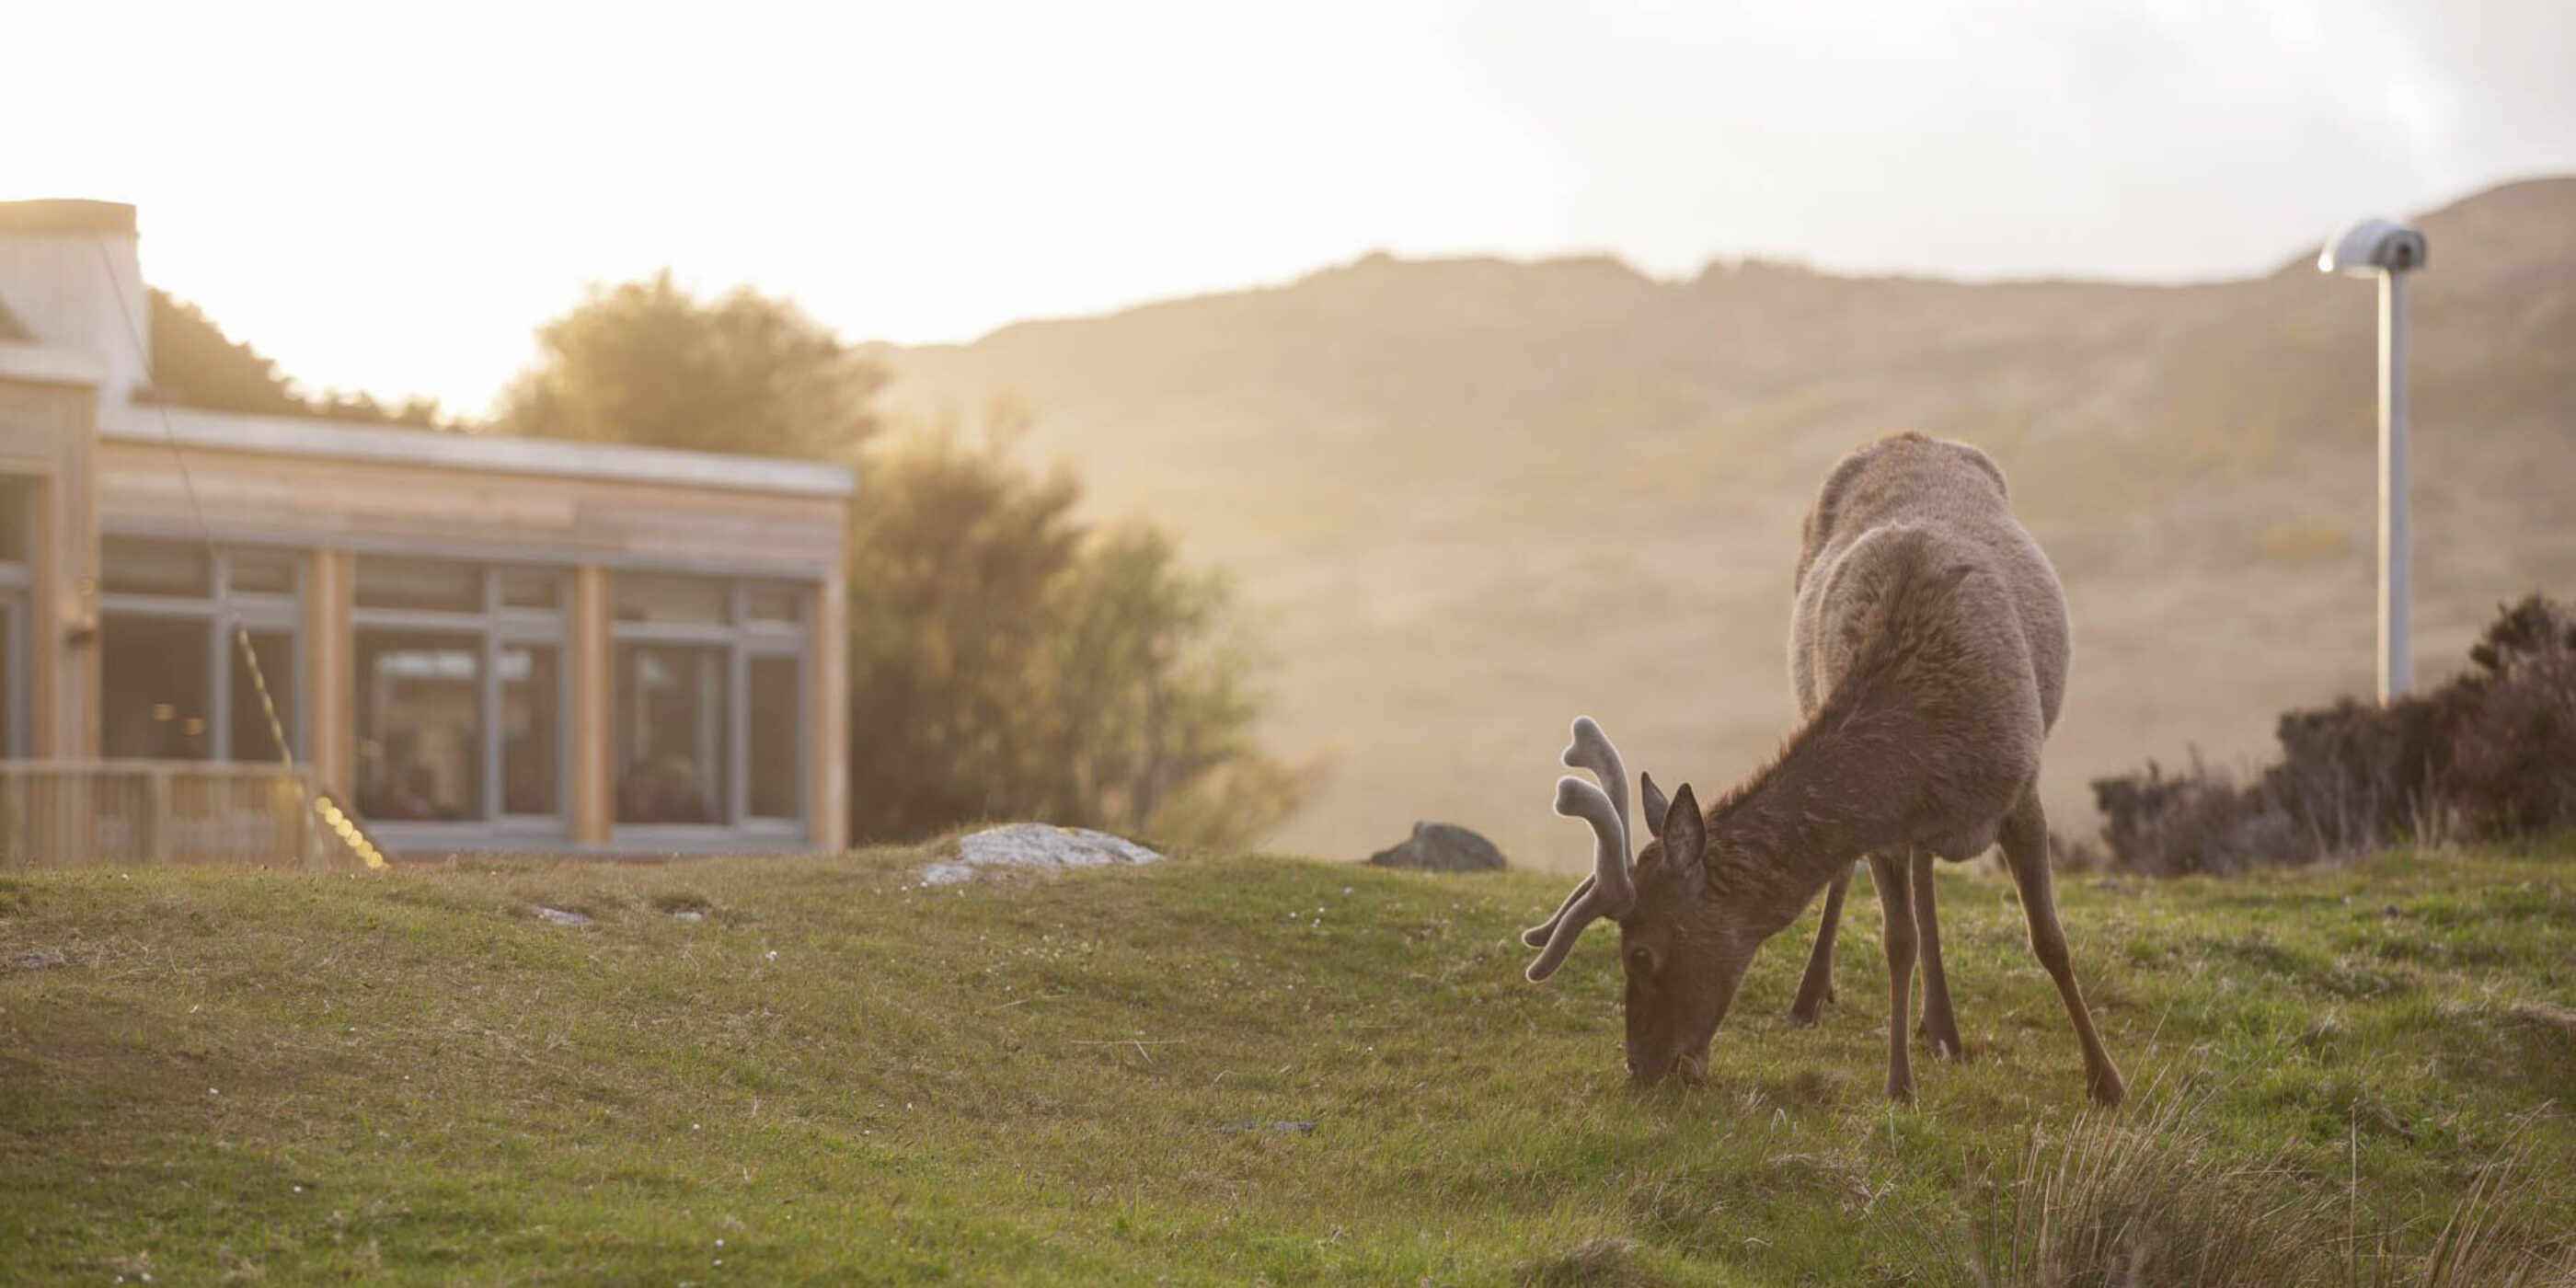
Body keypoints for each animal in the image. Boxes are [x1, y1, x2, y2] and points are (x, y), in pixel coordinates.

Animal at [1514, 432, 2122, 1108]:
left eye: (1641, 954)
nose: (1641, 1067)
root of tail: (1905, 435)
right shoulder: (1885, 827)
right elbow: (1897, 941)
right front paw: (1898, 1086)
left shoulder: (2022, 788)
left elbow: (2049, 939)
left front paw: (2105, 1080)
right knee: (1882, 881)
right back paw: (1826, 1000)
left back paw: (1943, 1028)